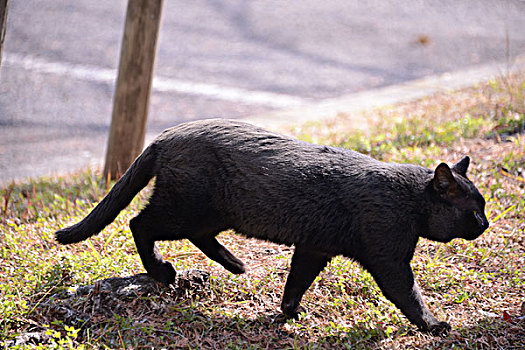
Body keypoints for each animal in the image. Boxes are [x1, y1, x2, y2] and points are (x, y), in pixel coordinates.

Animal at [55, 119, 490, 334]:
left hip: (212, 213)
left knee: (194, 235)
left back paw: (234, 265)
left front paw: (287, 313)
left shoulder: (314, 247)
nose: (485, 224)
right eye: (473, 212)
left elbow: (296, 282)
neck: (408, 199)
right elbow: (410, 296)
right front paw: (434, 326)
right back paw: (163, 271)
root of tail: (163, 136)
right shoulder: (389, 261)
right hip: (184, 208)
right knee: (138, 223)